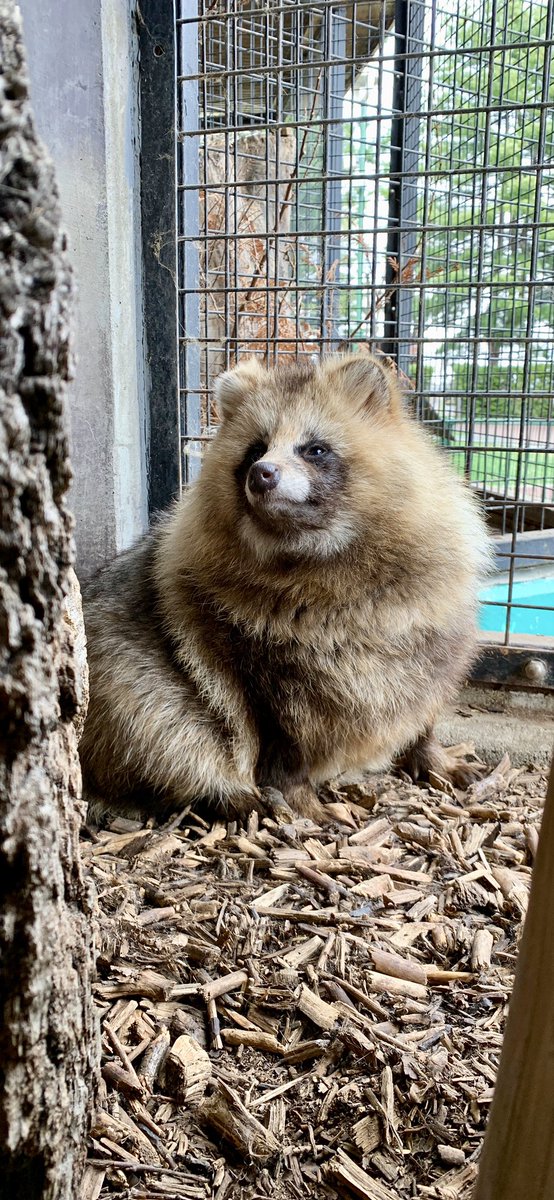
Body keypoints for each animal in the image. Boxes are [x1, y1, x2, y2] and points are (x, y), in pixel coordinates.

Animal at [80, 352, 489, 825]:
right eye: (255, 450)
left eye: (315, 449)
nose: (262, 473)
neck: (314, 553)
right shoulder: (242, 650)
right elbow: (277, 733)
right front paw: (297, 794)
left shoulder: (430, 620)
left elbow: (426, 690)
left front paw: (428, 748)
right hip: (119, 678)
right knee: (159, 724)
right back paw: (226, 794)